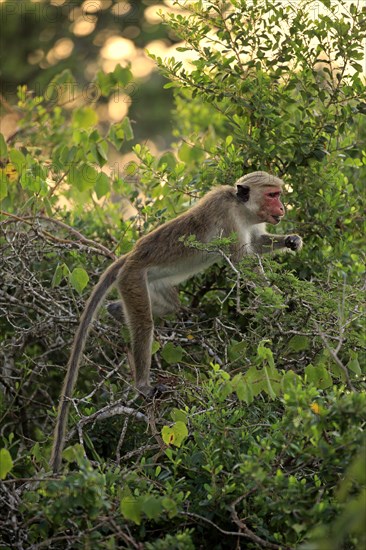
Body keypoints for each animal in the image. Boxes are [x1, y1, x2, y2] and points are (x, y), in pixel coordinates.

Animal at [50, 170, 304, 472]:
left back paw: (115, 311)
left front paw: (291, 240)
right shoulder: (228, 218)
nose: (283, 208)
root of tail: (130, 256)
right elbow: (244, 262)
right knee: (144, 324)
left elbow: (256, 243)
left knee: (169, 306)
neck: (241, 207)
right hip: (133, 279)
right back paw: (143, 384)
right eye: (272, 195)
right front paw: (281, 301)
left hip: (154, 282)